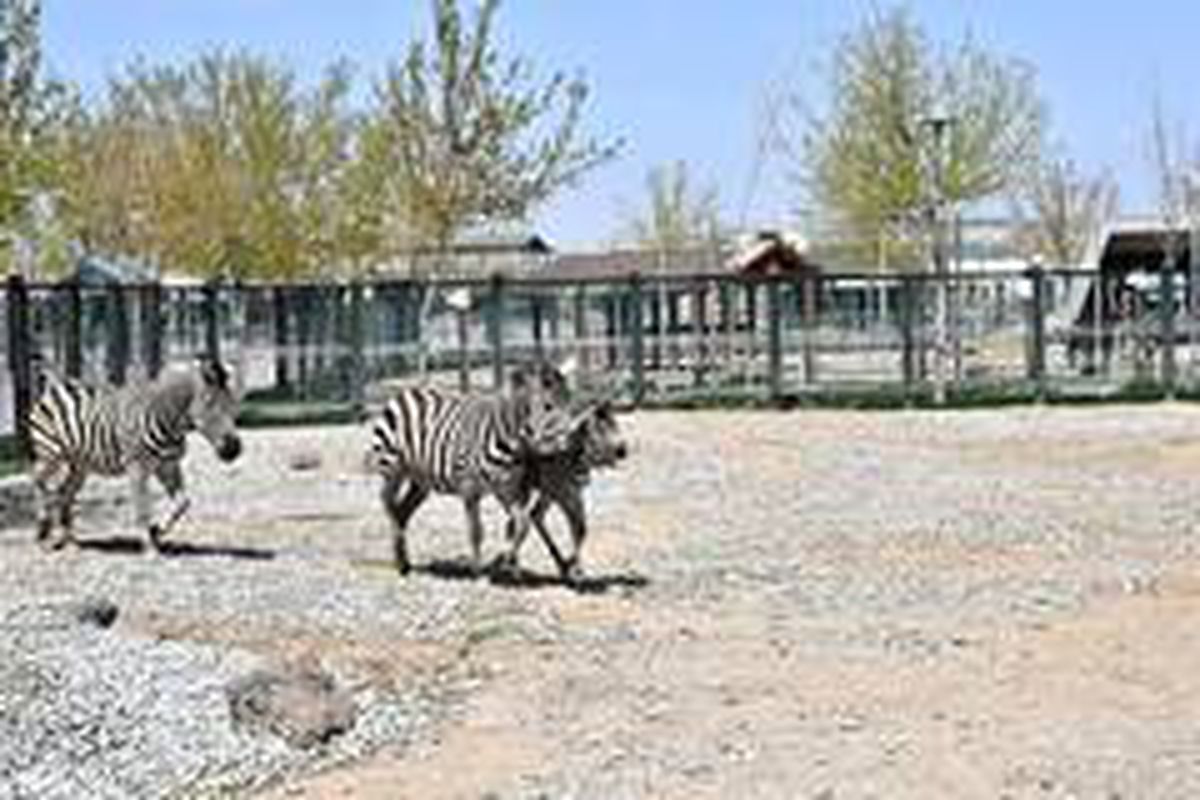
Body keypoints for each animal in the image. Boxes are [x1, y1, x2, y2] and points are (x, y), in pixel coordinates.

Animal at [27, 358, 244, 551]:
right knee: (39, 482)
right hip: (49, 453)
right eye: (210, 404)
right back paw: (43, 531)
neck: (169, 422)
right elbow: (142, 508)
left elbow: (182, 504)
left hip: (81, 464)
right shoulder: (137, 467)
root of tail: (56, 384)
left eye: (233, 404)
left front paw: (157, 531)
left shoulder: (168, 465)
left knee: (64, 492)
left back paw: (71, 541)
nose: (234, 450)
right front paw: (149, 545)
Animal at [368, 360, 572, 576]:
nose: (568, 443)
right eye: (548, 406)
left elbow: (520, 524)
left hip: (421, 480)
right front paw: (477, 571)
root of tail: (406, 391)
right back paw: (399, 556)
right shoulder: (469, 489)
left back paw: (403, 561)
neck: (510, 442)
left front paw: (507, 563)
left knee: (402, 511)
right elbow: (476, 531)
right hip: (392, 467)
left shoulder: (507, 489)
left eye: (569, 402)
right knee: (387, 502)